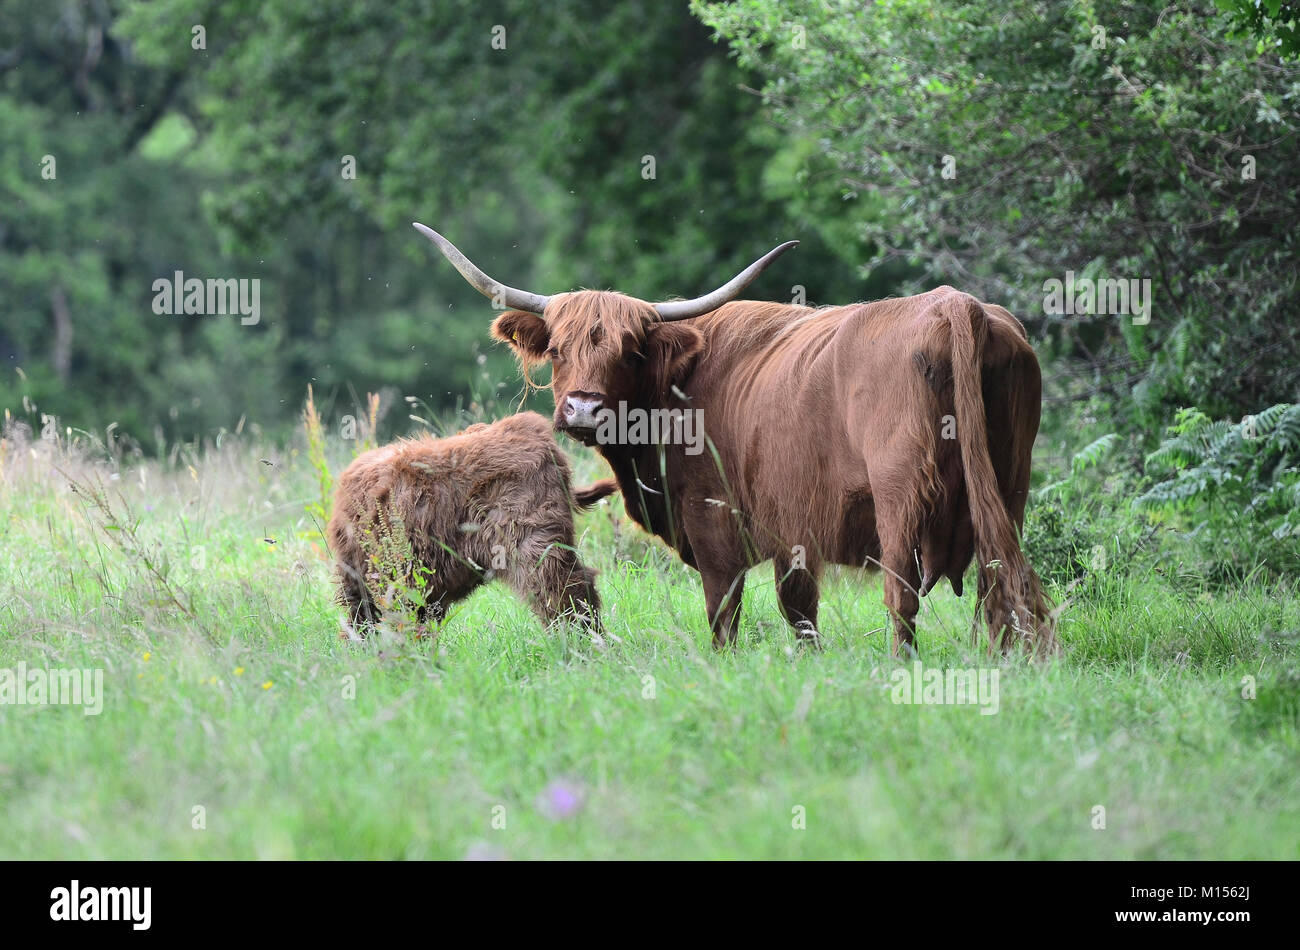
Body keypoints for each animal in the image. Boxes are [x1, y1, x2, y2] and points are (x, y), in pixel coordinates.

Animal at [413, 223, 1056, 658]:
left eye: (630, 351)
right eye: (557, 349)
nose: (583, 409)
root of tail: (955, 305)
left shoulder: (715, 525)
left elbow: (724, 615)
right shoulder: (797, 529)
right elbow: (800, 611)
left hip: (900, 499)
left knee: (904, 598)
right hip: (1009, 487)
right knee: (1003, 584)